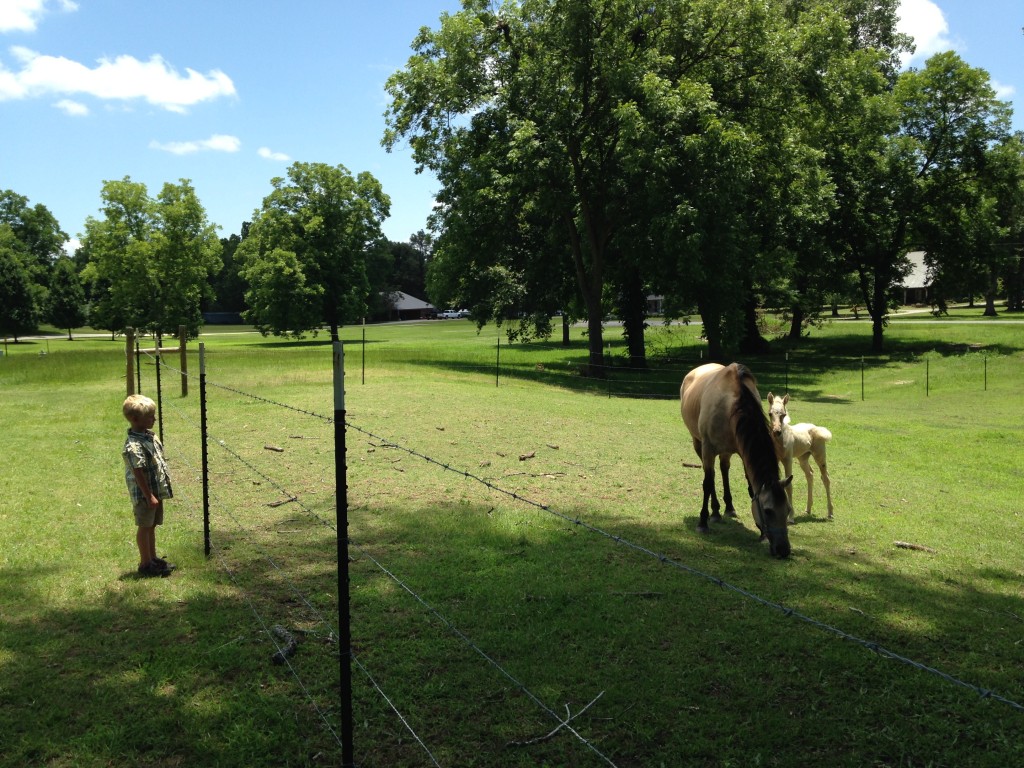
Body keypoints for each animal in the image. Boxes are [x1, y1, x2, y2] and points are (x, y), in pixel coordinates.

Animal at [684, 364, 794, 557]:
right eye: (768, 511)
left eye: (787, 510)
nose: (783, 550)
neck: (731, 404)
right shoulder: (707, 449)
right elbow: (707, 484)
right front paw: (702, 522)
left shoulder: (744, 451)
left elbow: (751, 487)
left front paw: (761, 534)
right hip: (699, 444)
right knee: (711, 476)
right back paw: (714, 512)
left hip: (726, 451)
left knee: (723, 469)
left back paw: (727, 507)